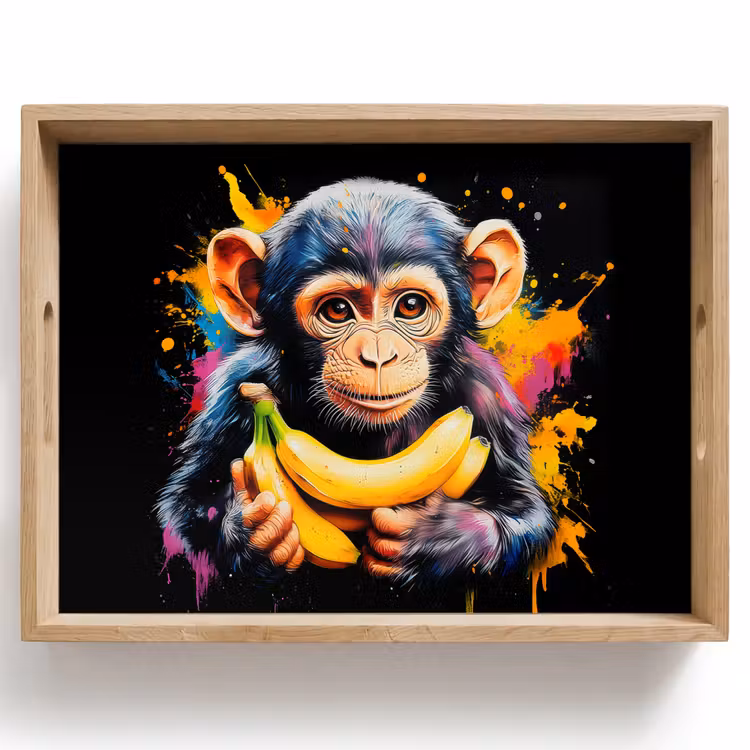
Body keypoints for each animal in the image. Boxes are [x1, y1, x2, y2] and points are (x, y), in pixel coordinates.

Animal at [157, 178, 556, 596]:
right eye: (337, 310)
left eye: (411, 306)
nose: (378, 355)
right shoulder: (233, 392)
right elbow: (186, 510)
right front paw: (256, 533)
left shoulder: (487, 395)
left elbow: (526, 511)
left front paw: (433, 539)